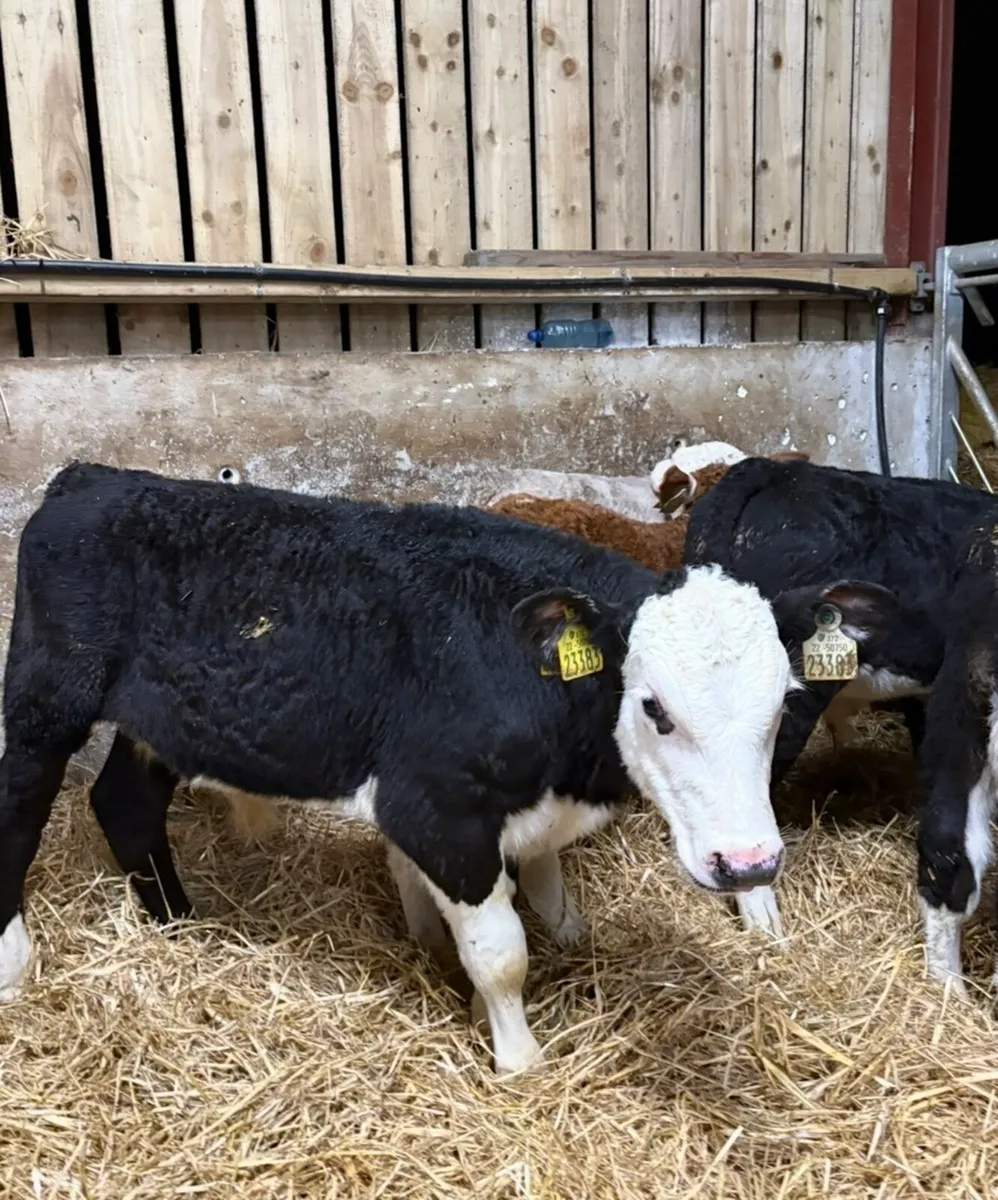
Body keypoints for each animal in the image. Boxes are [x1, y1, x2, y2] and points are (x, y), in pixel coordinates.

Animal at [0, 462, 897, 1072]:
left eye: (782, 702)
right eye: (654, 707)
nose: (750, 864)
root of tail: (92, 477)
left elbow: (548, 888)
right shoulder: (437, 808)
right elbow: (501, 951)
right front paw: (518, 1059)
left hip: (157, 723)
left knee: (125, 805)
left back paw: (176, 923)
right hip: (44, 701)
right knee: (20, 807)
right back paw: (16, 964)